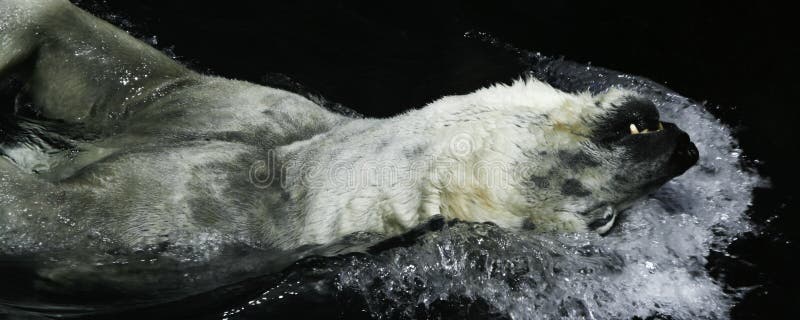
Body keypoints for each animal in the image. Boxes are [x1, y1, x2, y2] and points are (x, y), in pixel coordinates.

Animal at [0, 0, 700, 251]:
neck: (307, 171)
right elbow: (106, 67)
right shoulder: (244, 105)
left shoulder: (198, 210)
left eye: (599, 218)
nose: (684, 147)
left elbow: (43, 213)